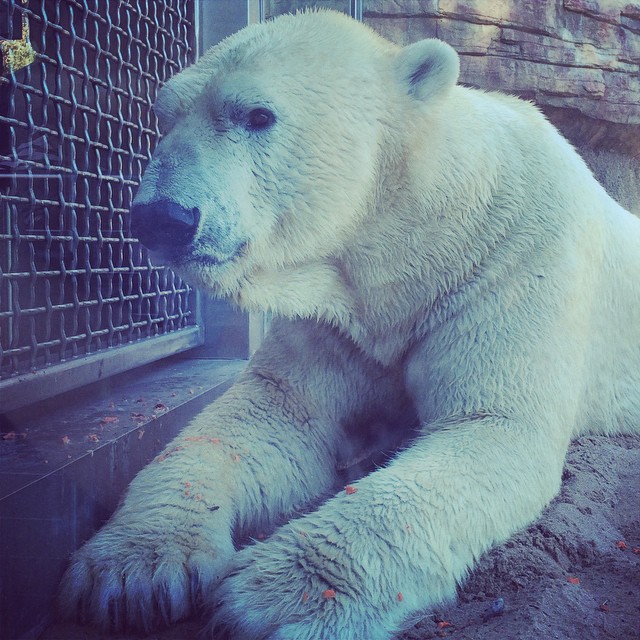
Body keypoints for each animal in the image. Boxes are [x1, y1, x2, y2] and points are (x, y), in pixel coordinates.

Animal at [60, 10, 640, 640]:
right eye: (164, 116)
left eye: (256, 114)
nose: (161, 218)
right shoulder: (338, 315)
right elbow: (273, 413)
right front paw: (131, 571)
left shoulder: (512, 259)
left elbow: (492, 424)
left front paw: (277, 599)